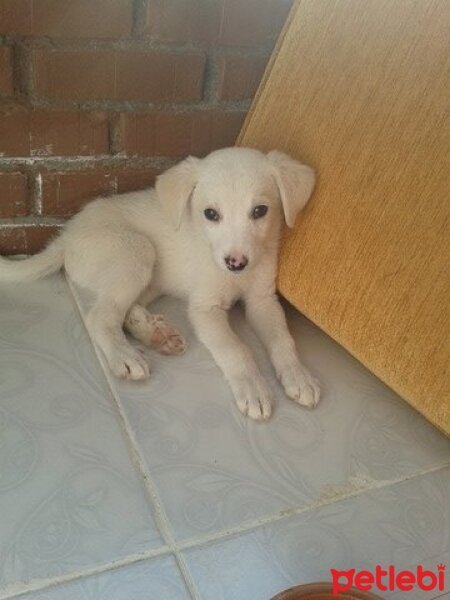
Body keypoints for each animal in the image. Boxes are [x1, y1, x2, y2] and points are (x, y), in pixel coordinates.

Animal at [0, 147, 320, 420]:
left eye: (259, 211)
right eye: (210, 214)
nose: (236, 263)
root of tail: (66, 237)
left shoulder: (262, 301)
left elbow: (283, 340)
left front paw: (299, 375)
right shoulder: (204, 309)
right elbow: (235, 348)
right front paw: (253, 388)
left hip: (150, 275)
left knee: (125, 309)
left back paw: (155, 333)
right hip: (135, 251)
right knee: (100, 316)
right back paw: (125, 354)